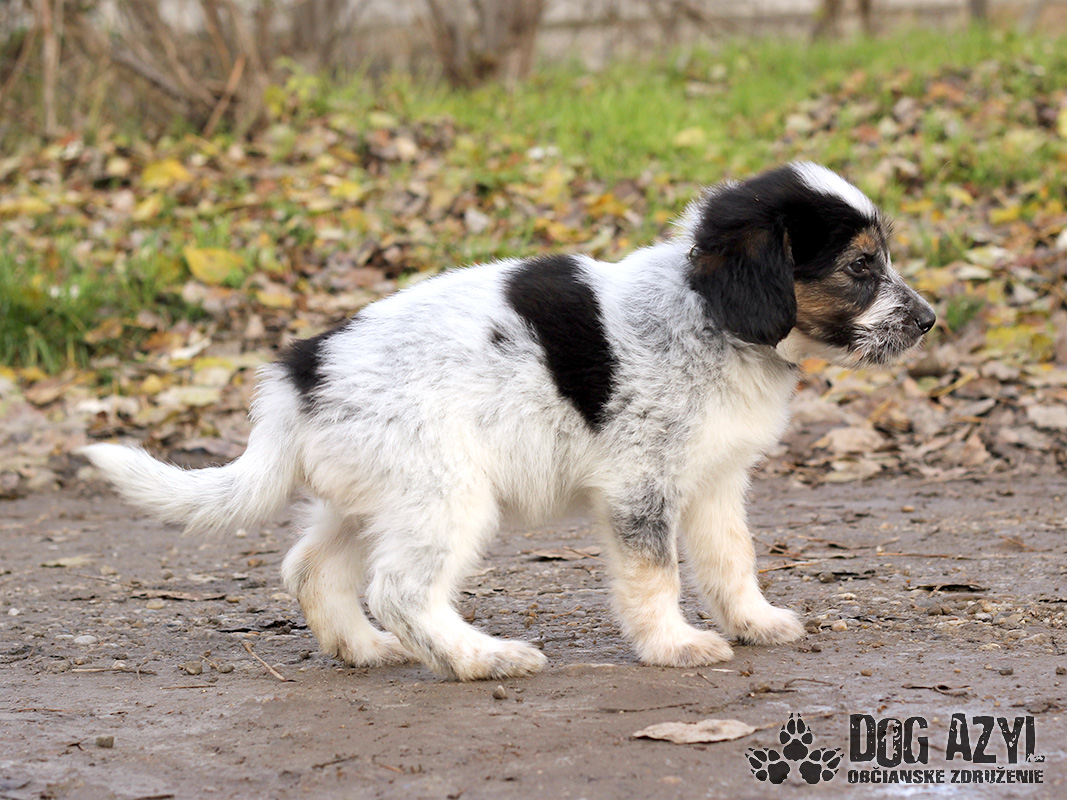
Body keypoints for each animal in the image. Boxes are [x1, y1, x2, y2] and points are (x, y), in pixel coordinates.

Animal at [82, 162, 935, 681]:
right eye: (860, 268)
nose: (931, 320)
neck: (708, 316)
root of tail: (303, 371)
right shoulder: (639, 489)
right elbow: (654, 574)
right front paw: (672, 645)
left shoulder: (713, 483)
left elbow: (731, 560)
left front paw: (754, 623)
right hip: (447, 495)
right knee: (401, 588)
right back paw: (479, 658)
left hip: (379, 495)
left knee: (312, 568)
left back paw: (365, 649)